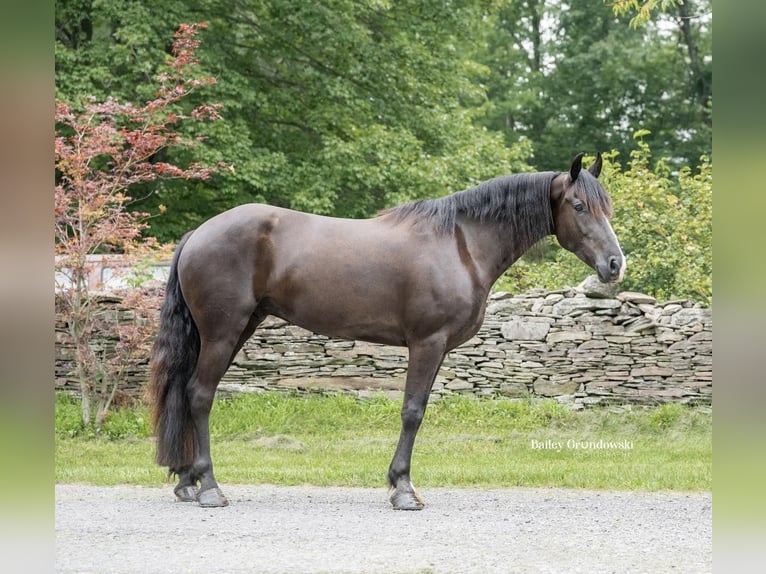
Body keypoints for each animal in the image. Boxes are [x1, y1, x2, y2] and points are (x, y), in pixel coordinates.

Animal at [147, 151, 628, 510]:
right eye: (580, 206)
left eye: (607, 208)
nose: (614, 265)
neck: (461, 244)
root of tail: (198, 234)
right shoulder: (427, 343)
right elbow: (412, 411)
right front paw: (403, 489)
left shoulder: (438, 349)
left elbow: (419, 408)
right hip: (223, 333)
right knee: (200, 395)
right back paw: (209, 486)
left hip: (236, 330)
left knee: (186, 392)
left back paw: (186, 481)